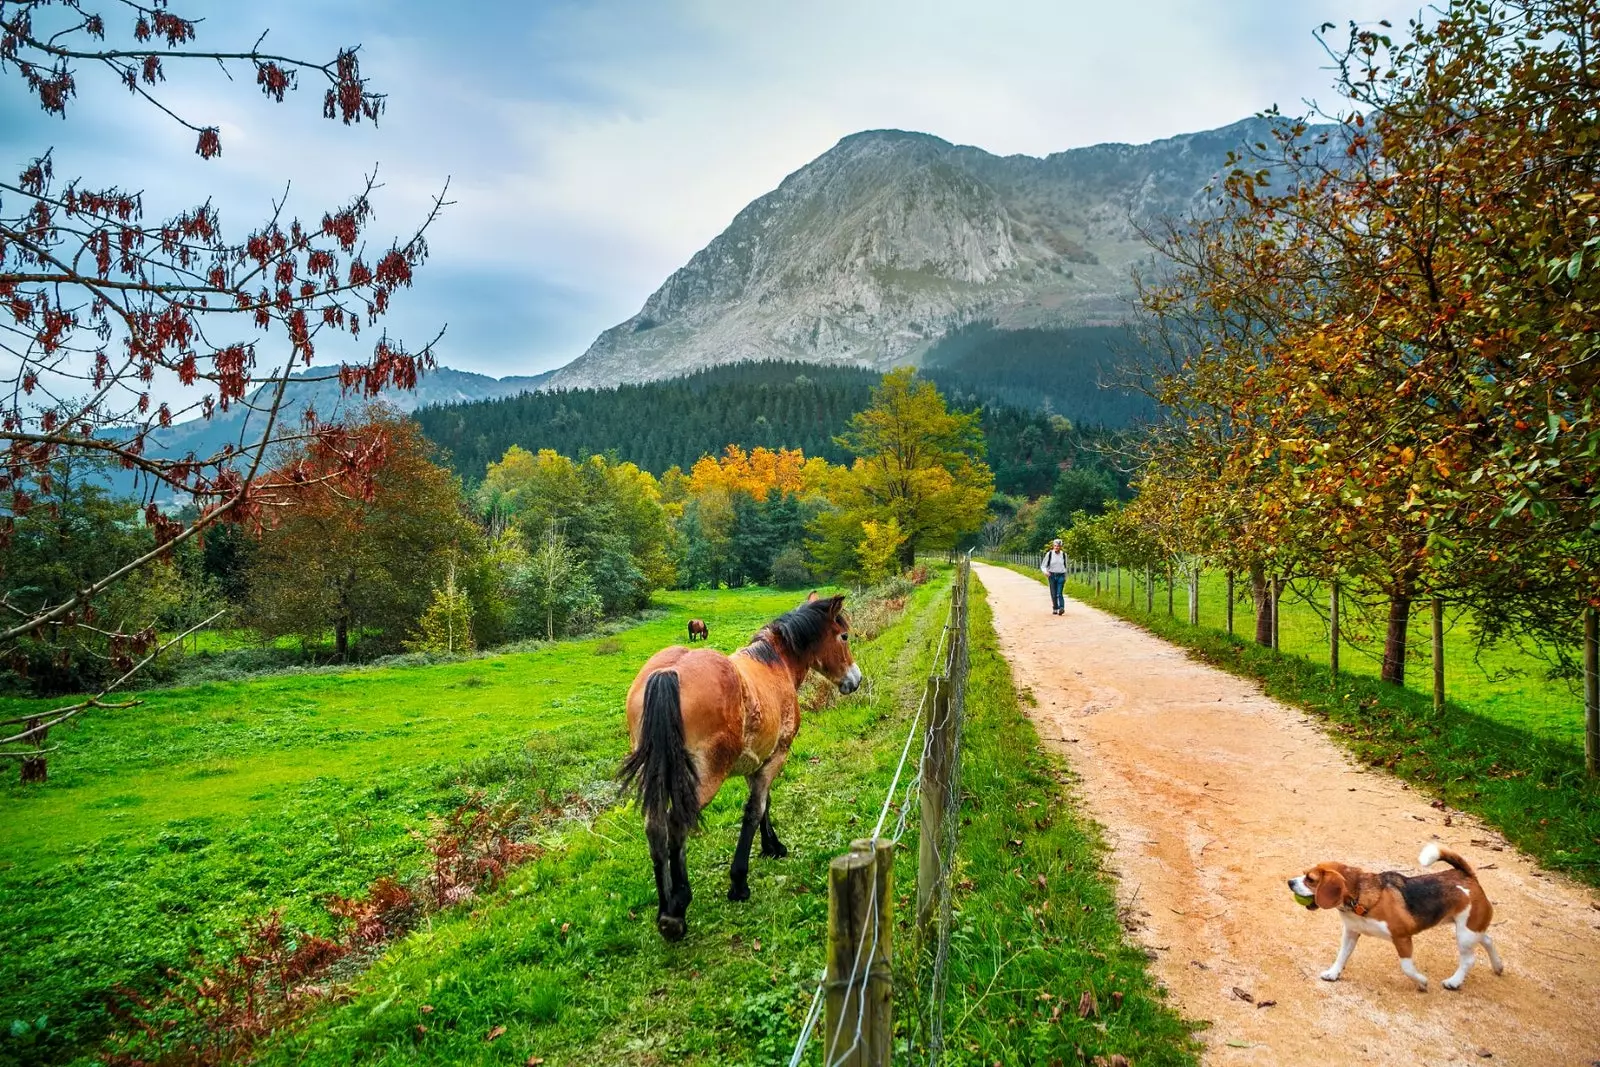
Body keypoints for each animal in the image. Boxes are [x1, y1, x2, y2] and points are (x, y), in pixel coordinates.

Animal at [617, 591, 864, 940]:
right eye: (843, 636)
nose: (855, 680)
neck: (775, 663)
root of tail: (667, 674)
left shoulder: (758, 761)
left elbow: (763, 804)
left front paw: (771, 846)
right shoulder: (777, 755)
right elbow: (754, 810)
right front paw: (739, 881)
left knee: (655, 828)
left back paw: (665, 909)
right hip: (703, 779)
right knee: (676, 825)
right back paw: (677, 910)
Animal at [1286, 844, 1497, 991]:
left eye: (1310, 879)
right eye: (1304, 874)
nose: (1289, 882)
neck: (1358, 899)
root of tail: (1466, 876)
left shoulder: (1402, 938)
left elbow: (1407, 967)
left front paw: (1422, 982)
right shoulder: (1351, 932)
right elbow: (1342, 955)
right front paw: (1333, 973)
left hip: (1465, 934)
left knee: (1469, 960)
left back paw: (1454, 982)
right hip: (1470, 929)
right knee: (1487, 939)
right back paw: (1498, 966)